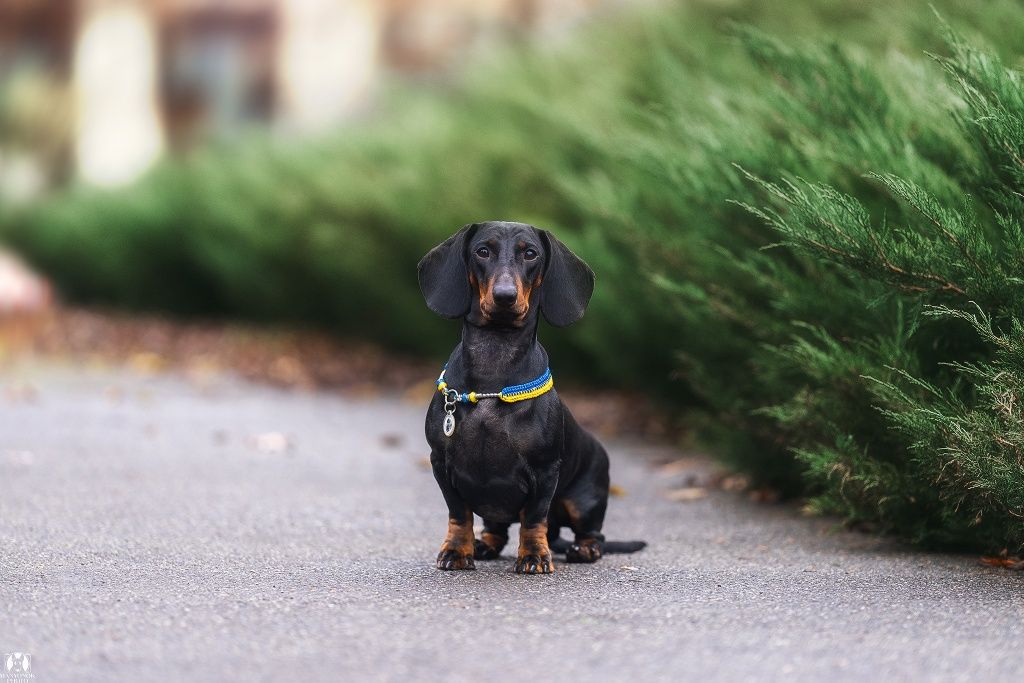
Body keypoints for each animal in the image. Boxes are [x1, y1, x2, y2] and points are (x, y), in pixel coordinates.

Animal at [413, 222, 638, 573]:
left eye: (530, 254)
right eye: (482, 251)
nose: (505, 296)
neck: (494, 367)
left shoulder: (544, 472)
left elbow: (534, 519)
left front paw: (533, 556)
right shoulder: (440, 462)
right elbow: (459, 514)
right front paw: (457, 551)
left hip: (582, 500)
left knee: (590, 533)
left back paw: (584, 549)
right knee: (497, 530)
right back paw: (483, 545)